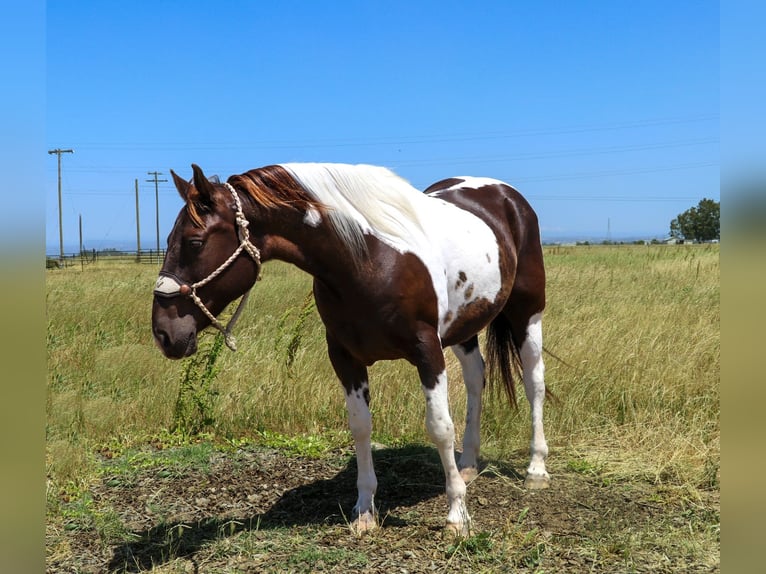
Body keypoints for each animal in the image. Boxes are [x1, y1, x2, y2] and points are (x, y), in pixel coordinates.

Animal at [152, 162, 550, 536]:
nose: (164, 333)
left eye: (195, 242)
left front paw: (457, 516)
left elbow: (439, 426)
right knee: (475, 378)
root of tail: (506, 195)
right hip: (463, 328)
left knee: (534, 383)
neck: (370, 257)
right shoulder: (345, 357)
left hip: (527, 313)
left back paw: (535, 469)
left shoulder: (427, 350)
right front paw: (364, 512)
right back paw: (467, 464)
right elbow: (360, 427)